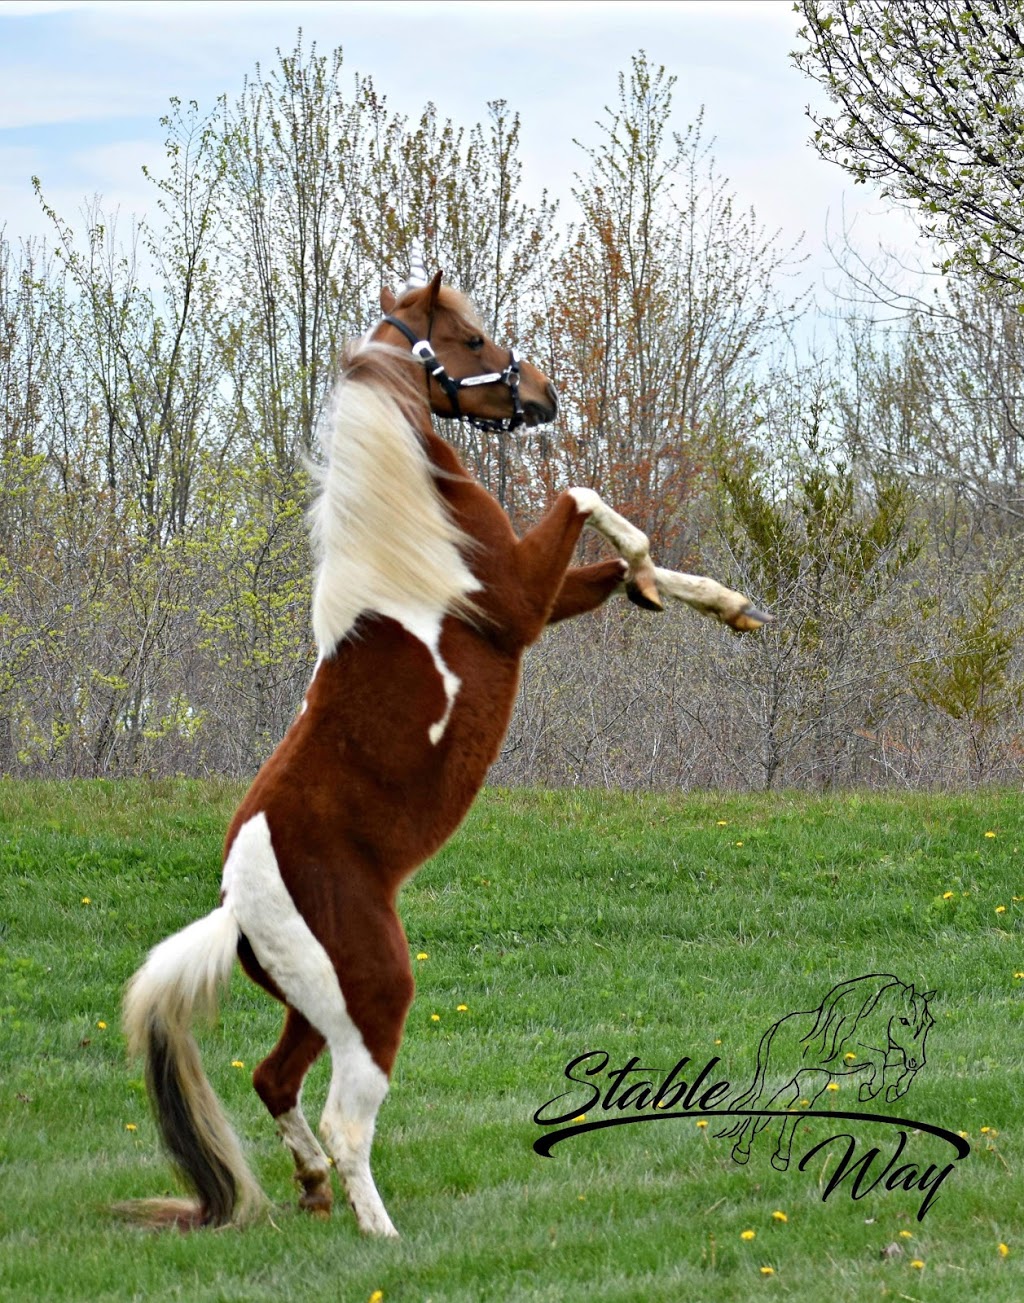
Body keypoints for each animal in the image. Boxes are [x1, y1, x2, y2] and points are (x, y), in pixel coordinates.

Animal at [121, 272, 766, 1230]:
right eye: (469, 338)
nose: (542, 393)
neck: (403, 540)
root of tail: (239, 903)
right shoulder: (521, 602)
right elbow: (582, 497)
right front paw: (656, 571)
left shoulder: (537, 602)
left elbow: (616, 568)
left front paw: (717, 602)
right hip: (375, 991)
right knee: (345, 1120)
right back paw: (381, 1233)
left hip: (321, 1005)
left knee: (275, 1082)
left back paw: (313, 1188)